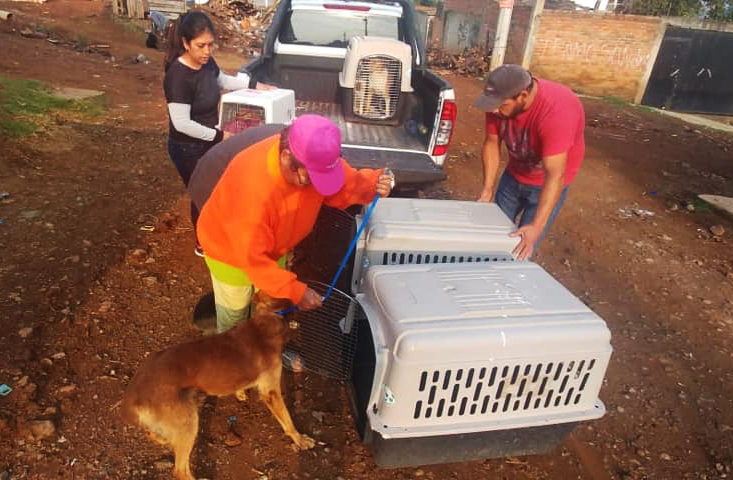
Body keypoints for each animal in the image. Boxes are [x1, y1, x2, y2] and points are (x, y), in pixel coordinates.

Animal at [121, 292, 314, 480]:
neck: (265, 321)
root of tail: (134, 394)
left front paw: (240, 393)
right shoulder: (271, 391)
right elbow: (288, 421)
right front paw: (301, 440)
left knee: (151, 433)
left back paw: (162, 438)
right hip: (189, 423)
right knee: (180, 471)